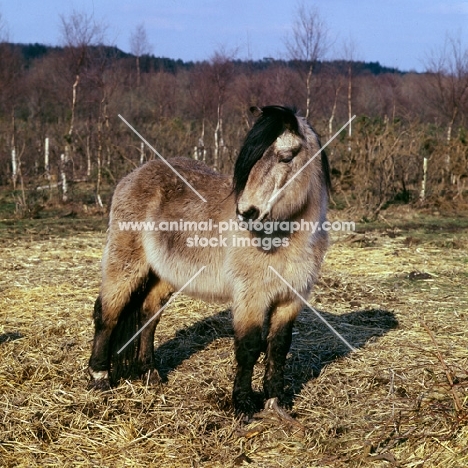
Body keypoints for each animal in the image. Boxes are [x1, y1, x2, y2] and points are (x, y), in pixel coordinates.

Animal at [88, 106, 330, 416]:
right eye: (250, 160)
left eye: (286, 156)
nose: (247, 213)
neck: (282, 238)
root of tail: (132, 176)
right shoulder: (250, 298)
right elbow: (249, 346)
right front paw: (243, 405)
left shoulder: (291, 299)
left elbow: (278, 346)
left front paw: (275, 402)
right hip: (126, 265)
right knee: (107, 313)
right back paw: (100, 377)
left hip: (164, 275)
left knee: (148, 315)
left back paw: (150, 373)